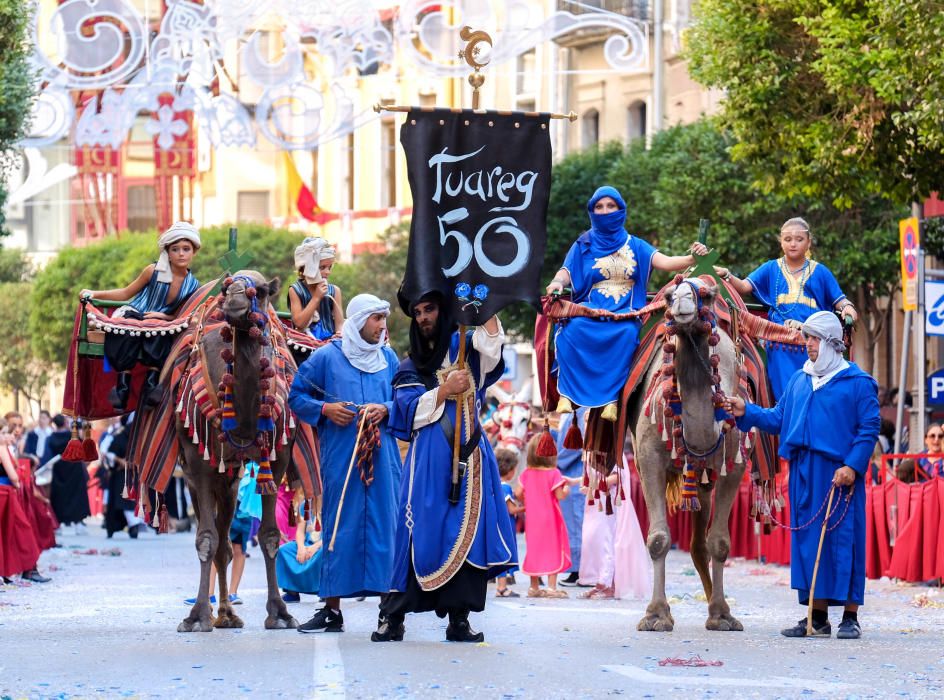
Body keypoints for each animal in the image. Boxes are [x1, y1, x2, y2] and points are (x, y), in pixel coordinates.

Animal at [174, 270, 298, 632]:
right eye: (227, 286)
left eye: (263, 291)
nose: (235, 299)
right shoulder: (199, 464)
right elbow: (205, 538)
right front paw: (197, 616)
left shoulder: (278, 458)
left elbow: (270, 536)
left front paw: (280, 613)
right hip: (199, 473)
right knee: (216, 538)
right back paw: (218, 612)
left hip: (230, 478)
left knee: (227, 542)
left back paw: (228, 613)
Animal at [632, 278, 748, 636]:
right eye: (669, 295)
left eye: (708, 295)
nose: (682, 300)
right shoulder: (648, 458)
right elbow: (658, 539)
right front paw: (656, 615)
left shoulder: (734, 465)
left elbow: (720, 543)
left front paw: (722, 615)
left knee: (701, 542)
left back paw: (713, 600)